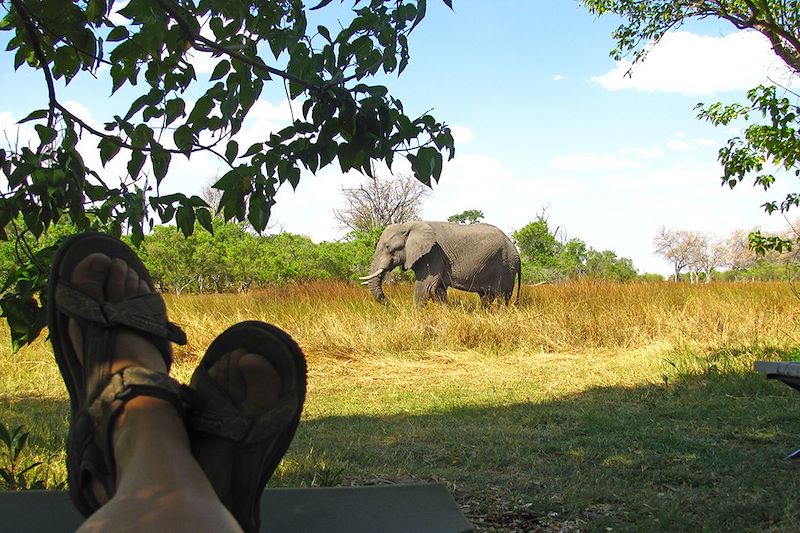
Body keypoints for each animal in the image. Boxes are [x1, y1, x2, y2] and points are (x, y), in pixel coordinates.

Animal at [360, 219, 520, 306]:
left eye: (388, 247)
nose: (393, 305)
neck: (410, 225)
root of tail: (516, 252)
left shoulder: (433, 254)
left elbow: (425, 287)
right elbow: (438, 289)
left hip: (506, 266)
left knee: (502, 297)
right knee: (486, 297)